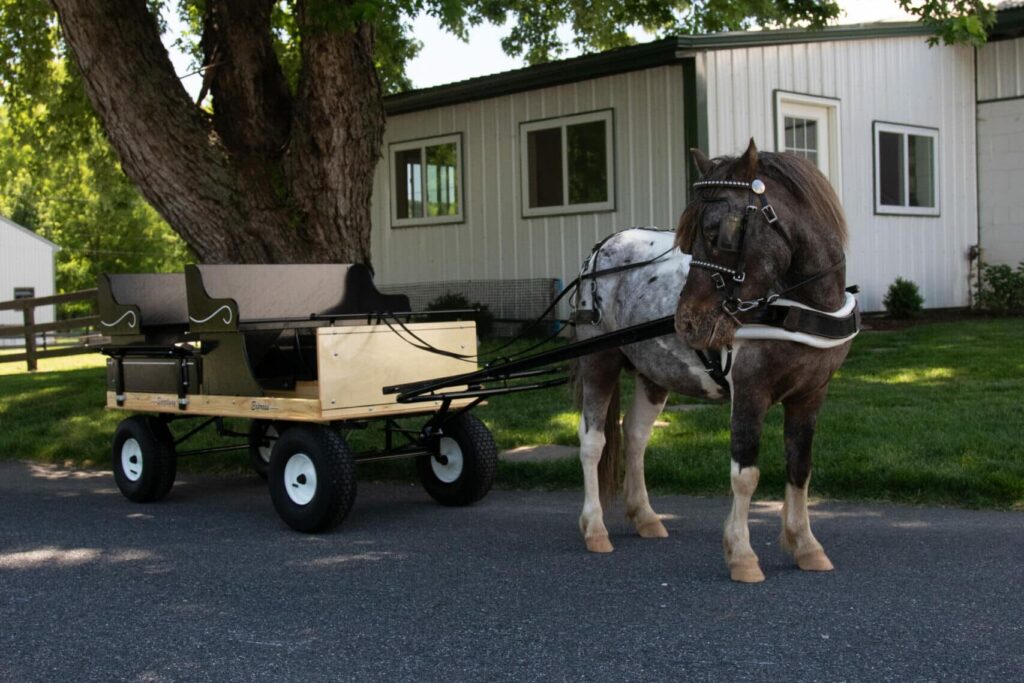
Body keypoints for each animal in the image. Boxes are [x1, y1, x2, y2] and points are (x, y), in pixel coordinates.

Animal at [571, 139, 857, 583]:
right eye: (689, 237)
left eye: (715, 231)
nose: (686, 322)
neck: (798, 306)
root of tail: (601, 249)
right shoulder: (750, 391)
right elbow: (746, 475)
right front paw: (741, 554)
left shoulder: (811, 394)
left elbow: (800, 468)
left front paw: (806, 546)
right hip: (599, 360)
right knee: (592, 441)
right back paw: (595, 528)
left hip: (654, 375)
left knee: (635, 436)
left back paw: (645, 516)